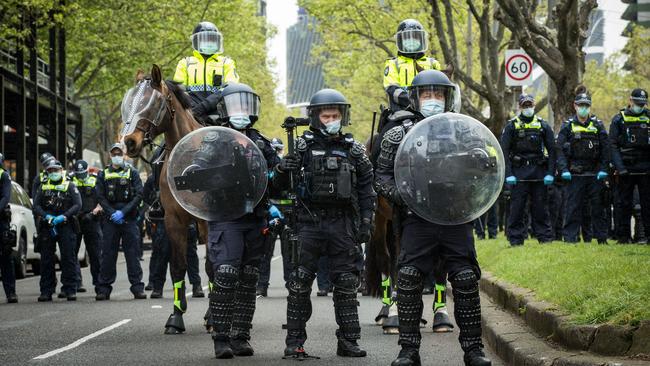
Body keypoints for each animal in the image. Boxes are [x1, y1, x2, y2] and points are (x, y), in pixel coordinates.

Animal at [123, 64, 209, 334]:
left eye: (153, 103)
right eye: (128, 101)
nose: (129, 142)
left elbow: (213, 264)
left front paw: (214, 319)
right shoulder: (174, 220)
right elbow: (178, 266)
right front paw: (176, 317)